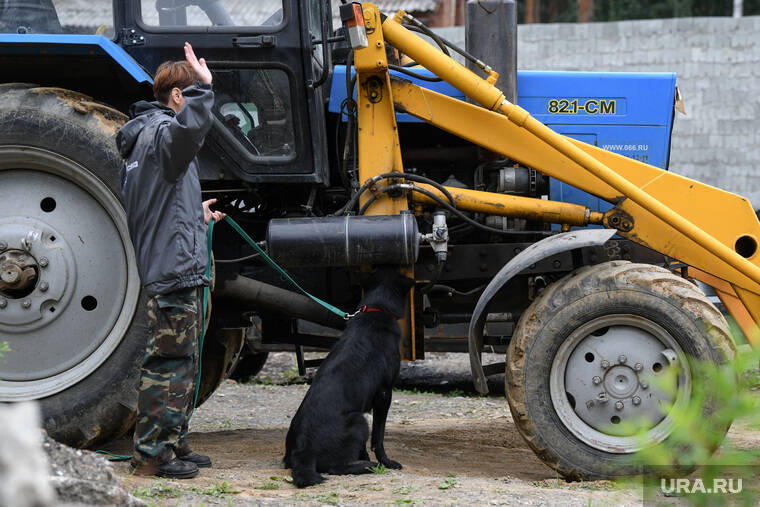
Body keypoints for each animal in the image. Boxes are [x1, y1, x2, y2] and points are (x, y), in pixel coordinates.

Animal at [284, 270, 416, 488]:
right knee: (336, 468)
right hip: (358, 420)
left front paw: (365, 457)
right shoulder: (384, 393)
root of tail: (303, 451)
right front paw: (385, 462)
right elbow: (378, 436)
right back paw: (369, 466)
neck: (376, 309)